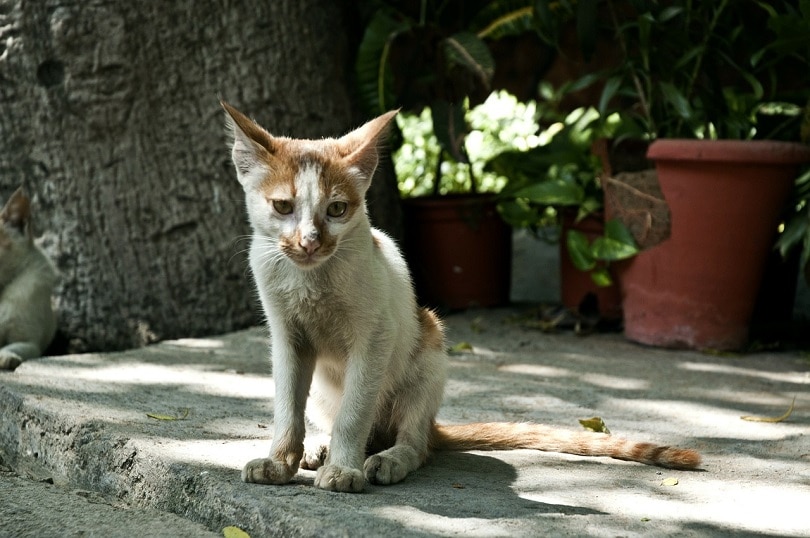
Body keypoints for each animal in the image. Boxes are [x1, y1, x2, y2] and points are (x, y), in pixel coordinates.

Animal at [219, 100, 696, 490]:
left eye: (337, 210)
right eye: (283, 207)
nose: (310, 242)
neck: (311, 279)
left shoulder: (375, 335)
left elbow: (355, 411)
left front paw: (345, 469)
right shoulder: (287, 337)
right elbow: (287, 406)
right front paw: (280, 461)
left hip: (429, 343)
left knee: (413, 440)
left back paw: (387, 458)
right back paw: (322, 446)